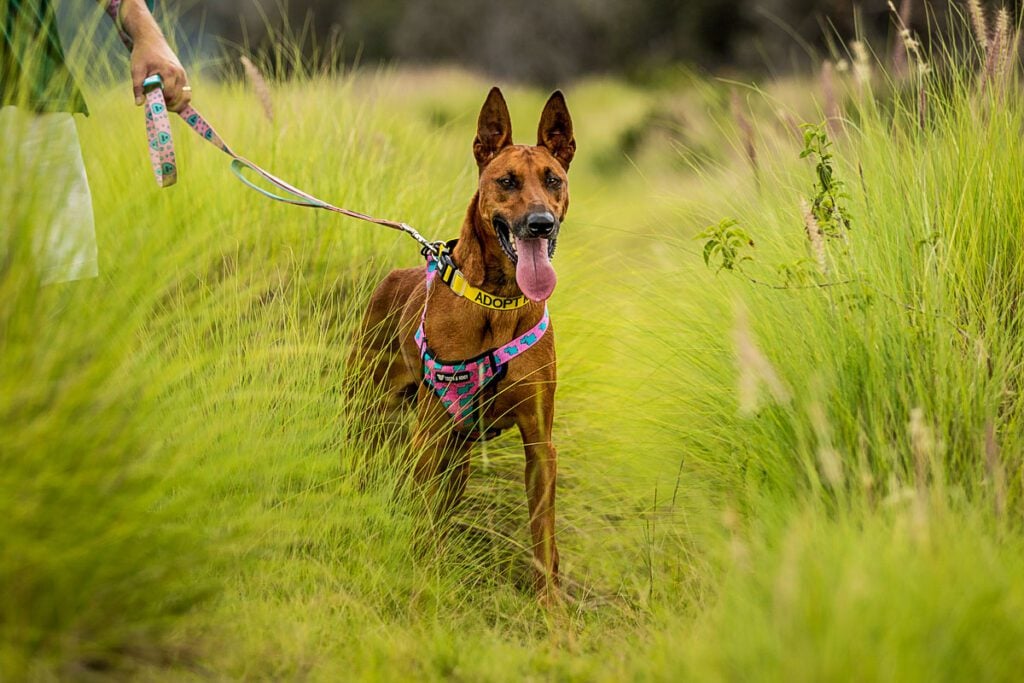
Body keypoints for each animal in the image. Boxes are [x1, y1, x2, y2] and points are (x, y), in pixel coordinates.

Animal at [354, 87, 577, 598]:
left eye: (553, 180)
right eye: (507, 181)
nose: (540, 224)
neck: (501, 302)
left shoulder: (541, 445)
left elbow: (544, 545)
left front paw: (552, 613)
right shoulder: (428, 436)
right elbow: (418, 516)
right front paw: (419, 590)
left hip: (459, 451)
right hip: (371, 407)